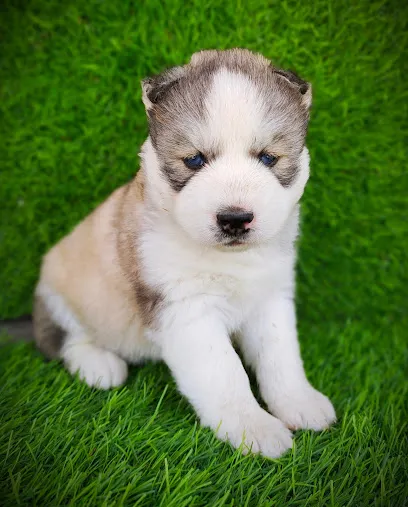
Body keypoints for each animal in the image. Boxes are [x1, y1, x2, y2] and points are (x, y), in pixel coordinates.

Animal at [31, 48, 336, 460]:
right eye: (194, 160)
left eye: (268, 158)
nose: (234, 219)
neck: (229, 260)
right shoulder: (185, 309)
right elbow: (224, 372)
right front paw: (253, 427)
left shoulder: (271, 296)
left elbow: (281, 355)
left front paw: (300, 403)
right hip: (61, 290)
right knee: (65, 339)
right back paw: (99, 365)